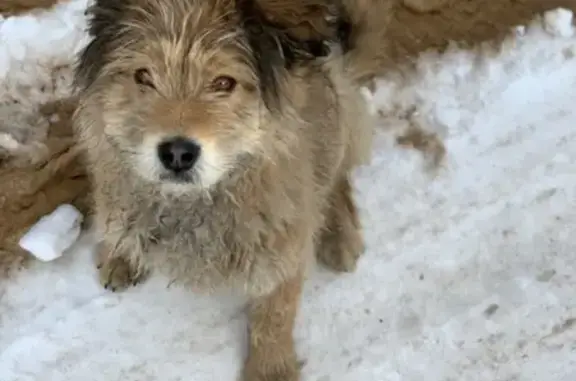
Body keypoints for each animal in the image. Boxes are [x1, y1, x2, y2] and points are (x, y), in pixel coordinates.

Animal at [71, 1, 392, 378]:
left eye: (223, 82)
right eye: (143, 77)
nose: (177, 153)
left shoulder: (283, 243)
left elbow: (275, 314)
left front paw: (270, 368)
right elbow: (116, 208)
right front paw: (121, 252)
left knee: (335, 175)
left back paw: (338, 234)